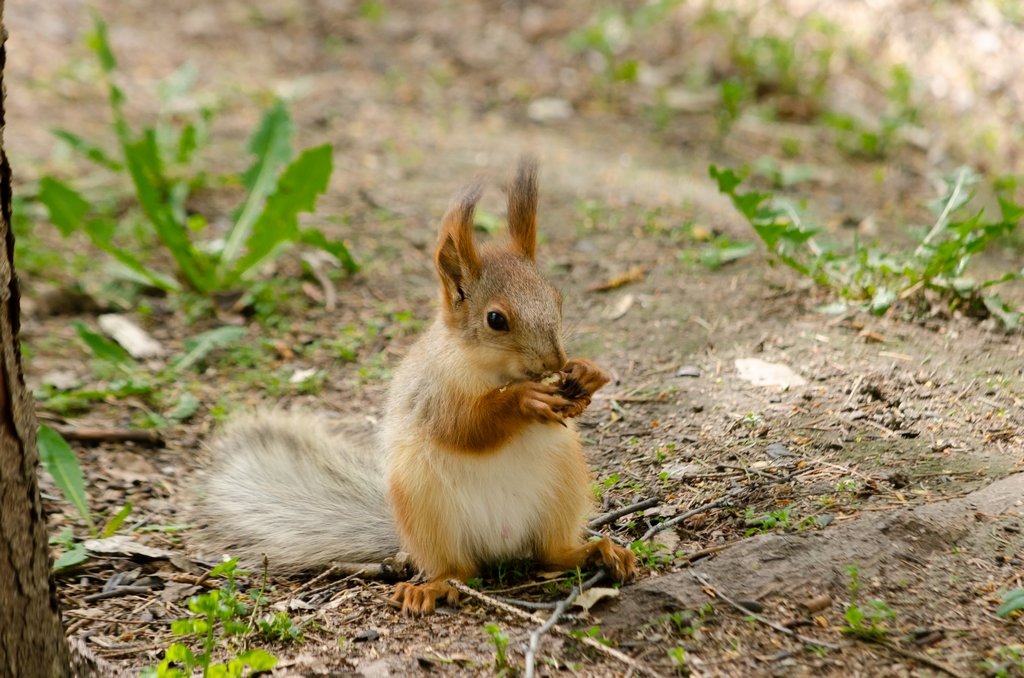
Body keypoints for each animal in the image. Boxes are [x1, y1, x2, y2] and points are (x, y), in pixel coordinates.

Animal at [195, 157, 634, 614]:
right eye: (496, 319)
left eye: (557, 299)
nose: (554, 363)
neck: (494, 371)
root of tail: (501, 545)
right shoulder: (432, 393)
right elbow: (465, 427)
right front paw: (523, 400)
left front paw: (588, 375)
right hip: (425, 509)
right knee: (458, 570)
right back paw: (429, 588)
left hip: (563, 486)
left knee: (550, 554)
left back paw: (597, 551)